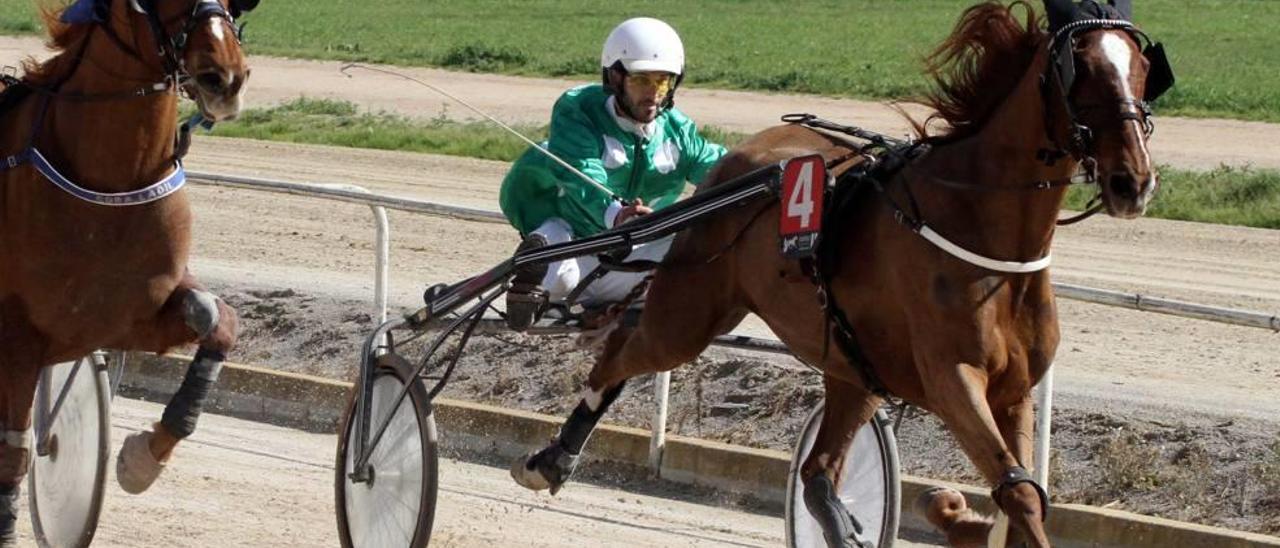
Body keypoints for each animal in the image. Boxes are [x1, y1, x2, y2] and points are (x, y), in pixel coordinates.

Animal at [0, 0, 258, 540]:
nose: (224, 76)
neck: (111, 182)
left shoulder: (121, 317)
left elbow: (216, 319)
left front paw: (145, 456)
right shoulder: (17, 334)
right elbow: (13, 452)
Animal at [512, 1, 1172, 548]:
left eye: (1143, 64)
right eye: (1080, 67)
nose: (1132, 180)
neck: (978, 230)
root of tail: (737, 161)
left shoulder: (1014, 390)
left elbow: (1024, 497)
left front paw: (957, 516)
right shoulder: (953, 379)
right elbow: (1018, 495)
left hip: (852, 363)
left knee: (818, 473)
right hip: (689, 313)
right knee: (623, 347)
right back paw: (551, 456)